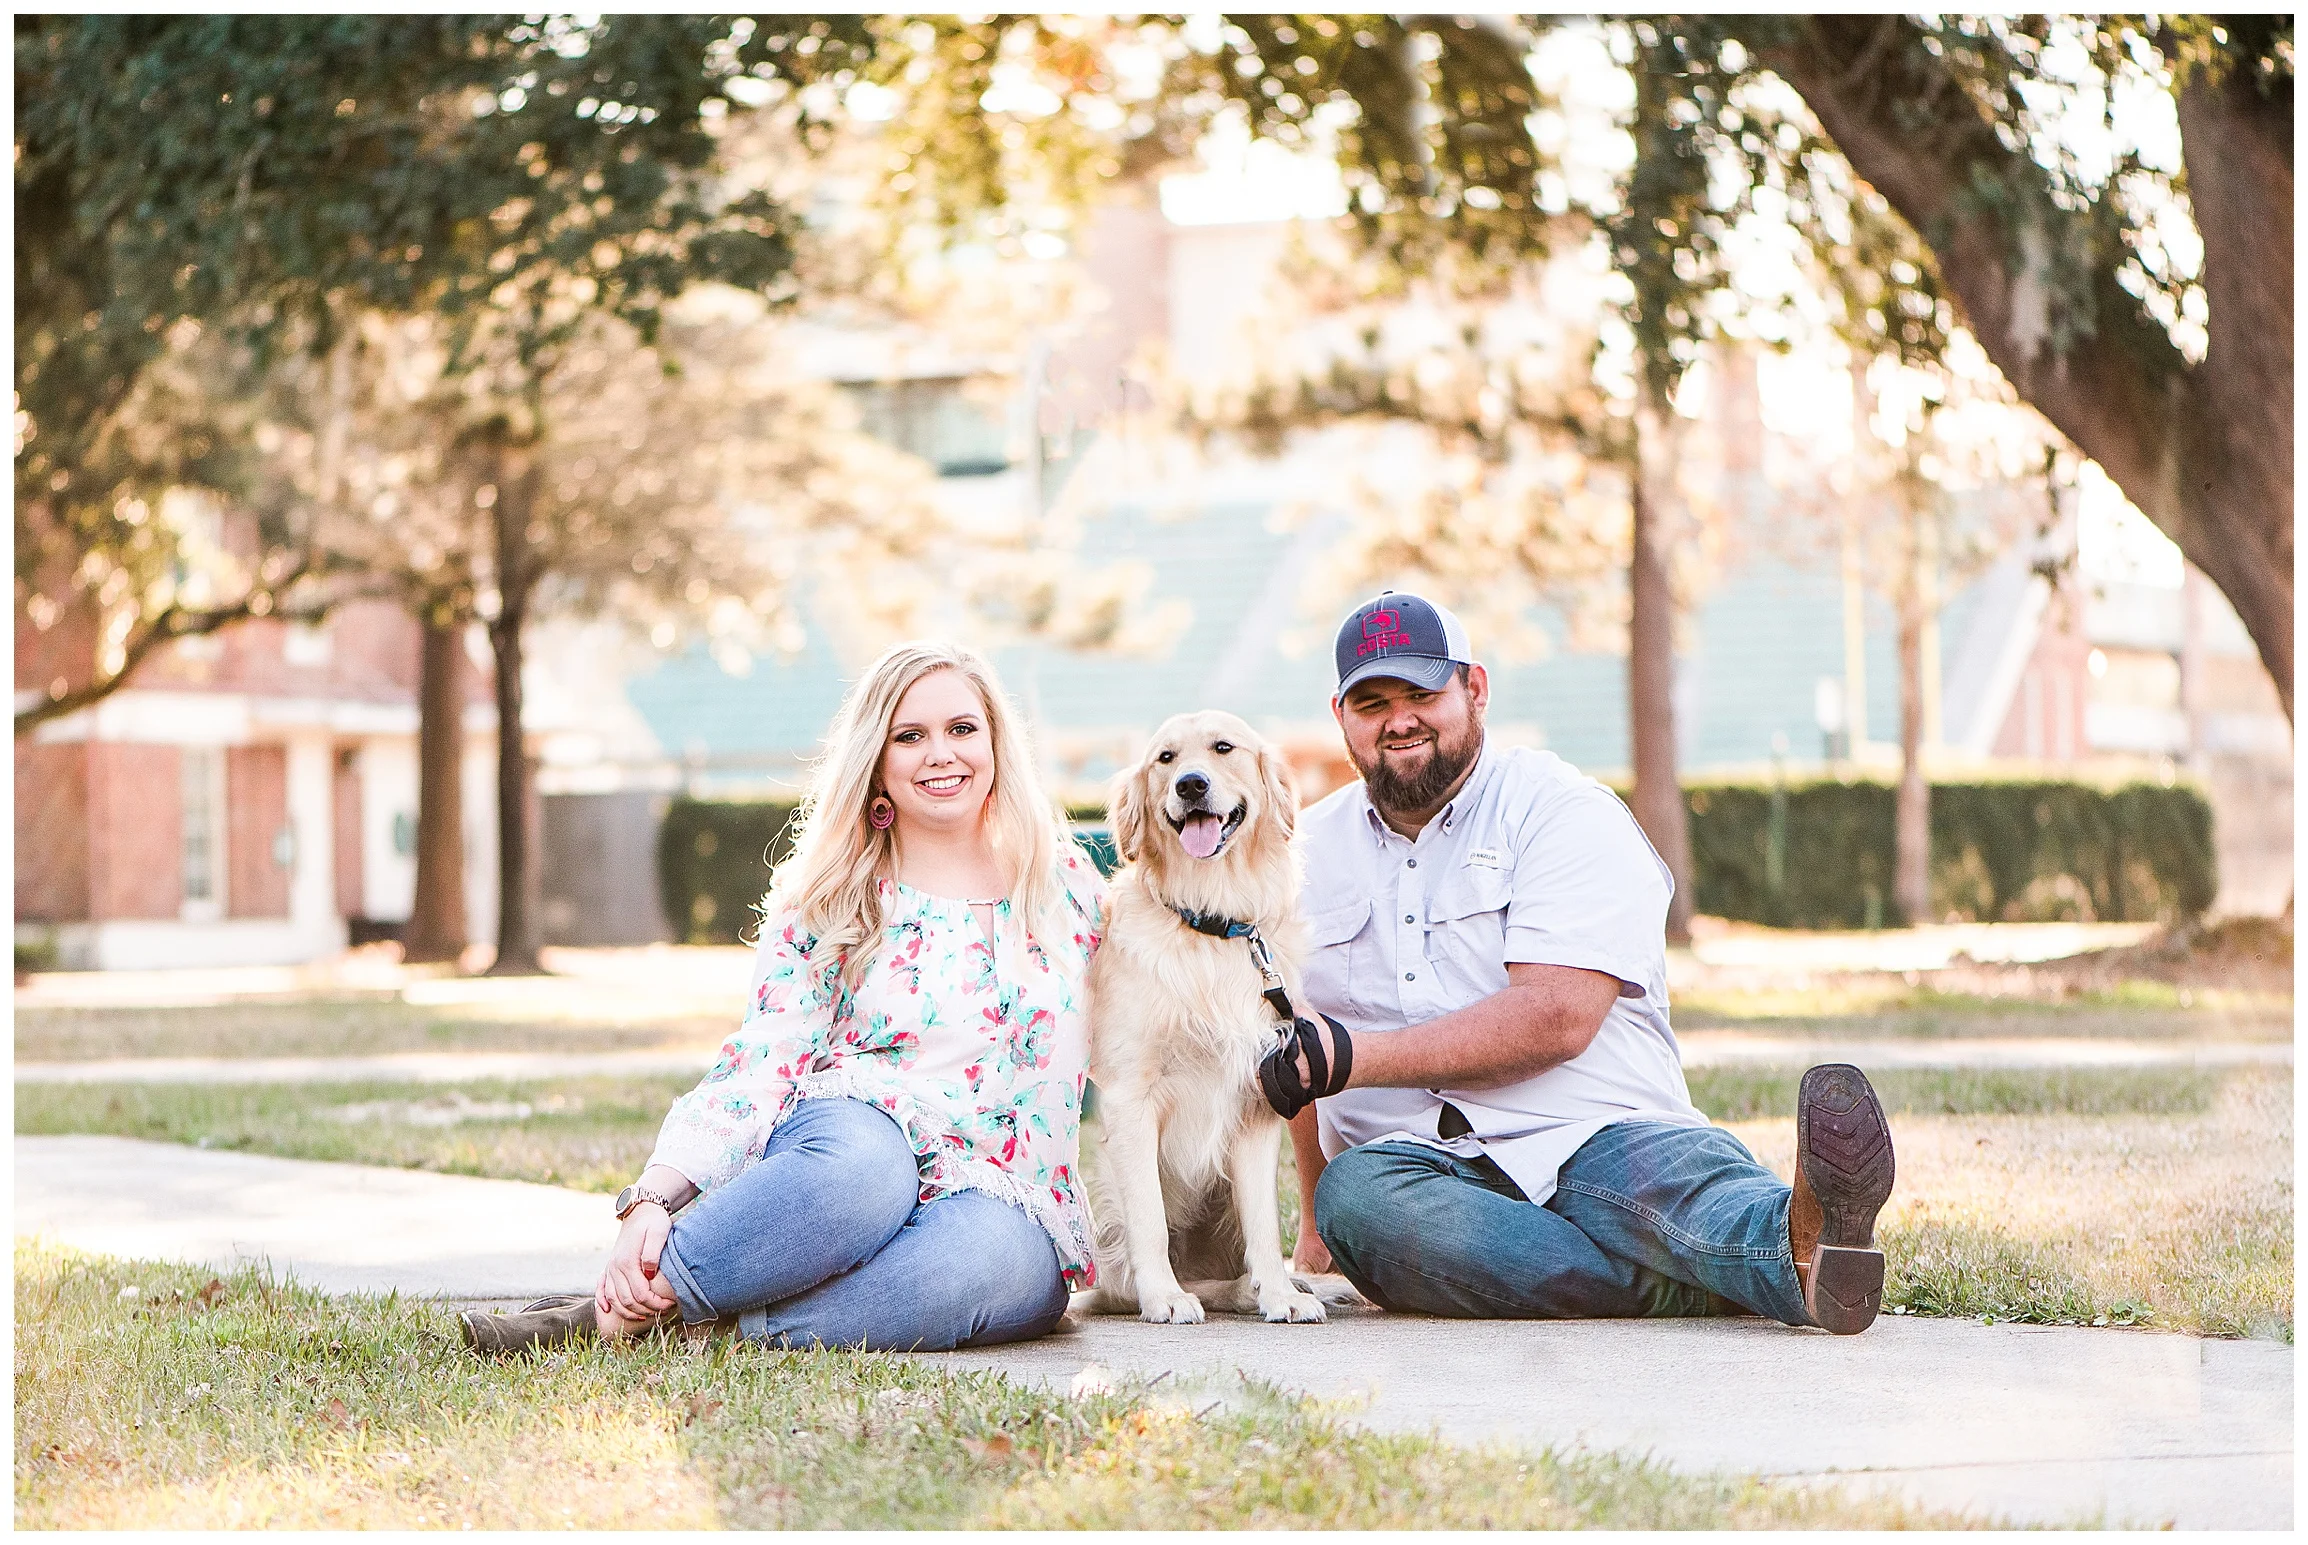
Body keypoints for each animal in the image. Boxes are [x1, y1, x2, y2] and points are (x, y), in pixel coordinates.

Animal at [1079, 709, 1339, 1325]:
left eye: (1224, 748)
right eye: (1165, 758)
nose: (1191, 785)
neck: (1210, 924)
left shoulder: (1261, 1095)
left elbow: (1264, 1223)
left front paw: (1278, 1294)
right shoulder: (1130, 1096)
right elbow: (1149, 1218)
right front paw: (1163, 1297)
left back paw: (1257, 1289)